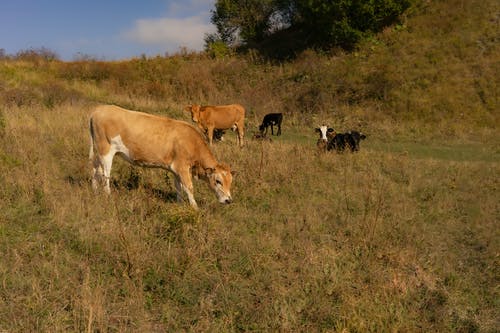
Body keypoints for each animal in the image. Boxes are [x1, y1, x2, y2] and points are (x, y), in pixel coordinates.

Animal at [88, 104, 234, 208]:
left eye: (230, 182)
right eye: (218, 181)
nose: (228, 200)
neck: (192, 142)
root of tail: (98, 109)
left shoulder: (176, 169)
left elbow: (178, 188)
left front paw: (180, 204)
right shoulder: (182, 167)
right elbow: (189, 187)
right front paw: (195, 208)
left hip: (98, 151)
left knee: (95, 169)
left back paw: (94, 191)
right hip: (106, 150)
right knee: (105, 174)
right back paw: (107, 195)